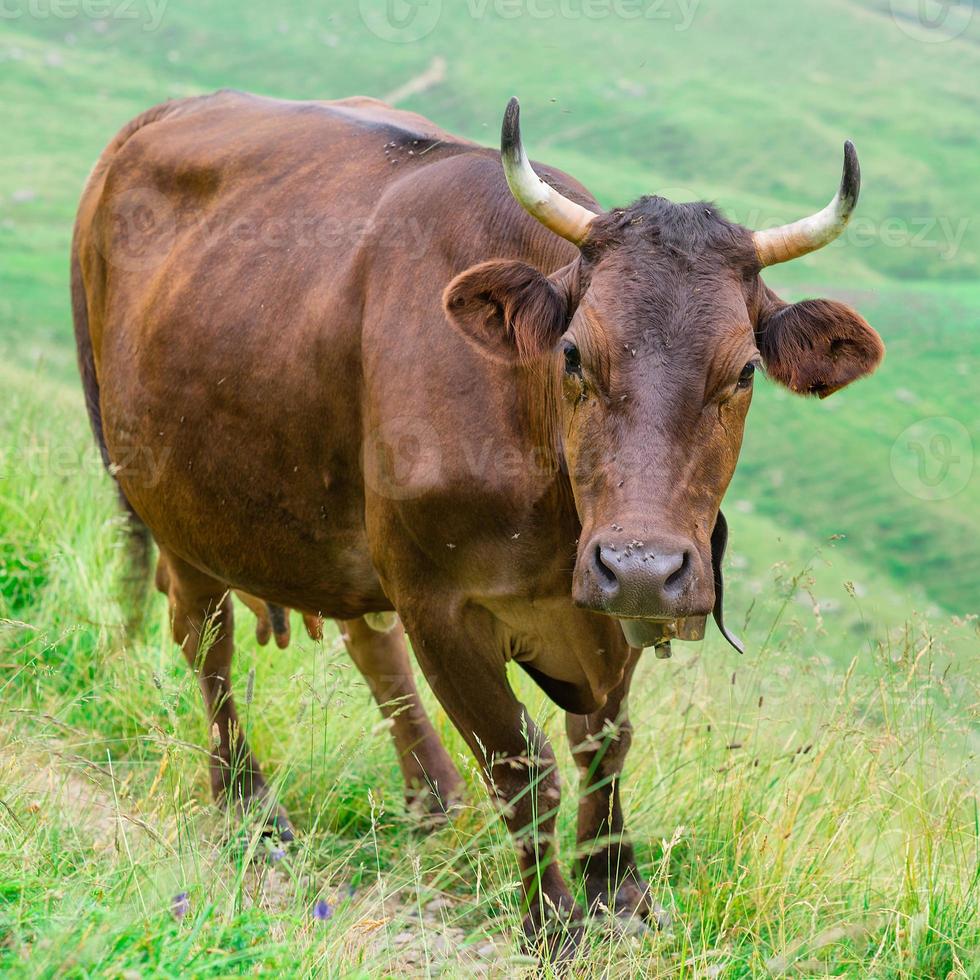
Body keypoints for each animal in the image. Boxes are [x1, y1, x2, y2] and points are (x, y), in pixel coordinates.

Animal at [69, 92, 880, 956]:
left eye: (745, 371)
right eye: (572, 355)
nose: (639, 564)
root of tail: (177, 106)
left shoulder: (609, 607)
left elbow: (604, 748)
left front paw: (620, 896)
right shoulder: (441, 607)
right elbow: (524, 766)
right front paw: (554, 921)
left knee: (366, 642)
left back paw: (432, 798)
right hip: (165, 495)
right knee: (208, 643)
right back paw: (251, 809)